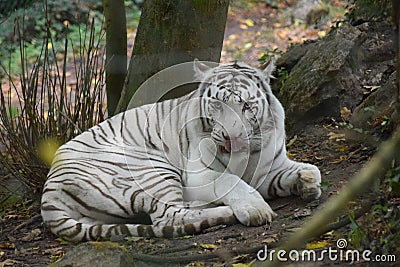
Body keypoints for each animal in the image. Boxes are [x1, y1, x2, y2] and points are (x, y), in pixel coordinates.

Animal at [40, 60, 322, 243]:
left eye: (247, 106)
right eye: (217, 104)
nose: (231, 138)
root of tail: (48, 194)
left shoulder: (267, 170)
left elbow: (307, 170)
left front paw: (307, 182)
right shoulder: (198, 175)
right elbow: (230, 180)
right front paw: (255, 209)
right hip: (150, 166)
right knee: (168, 217)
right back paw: (225, 211)